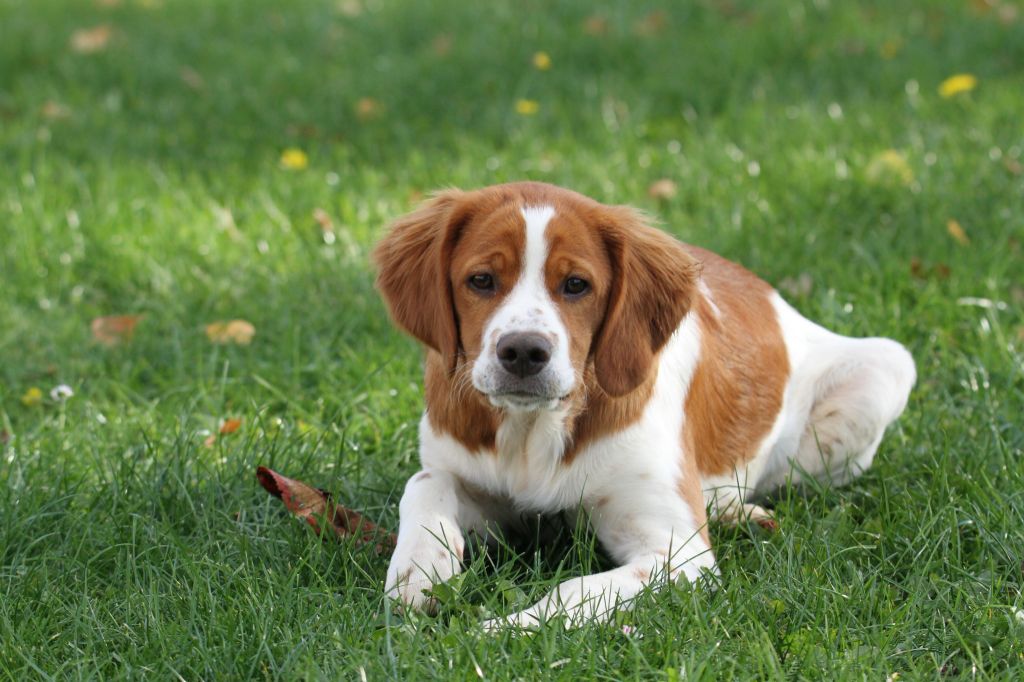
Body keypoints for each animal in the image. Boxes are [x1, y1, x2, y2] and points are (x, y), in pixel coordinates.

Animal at [372, 180, 917, 626]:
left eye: (576, 285)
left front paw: (502, 630)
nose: (524, 352)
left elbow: (573, 591)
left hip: (884, 369)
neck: (533, 431)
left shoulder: (677, 555)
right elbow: (424, 482)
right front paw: (418, 570)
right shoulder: (470, 479)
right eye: (481, 280)